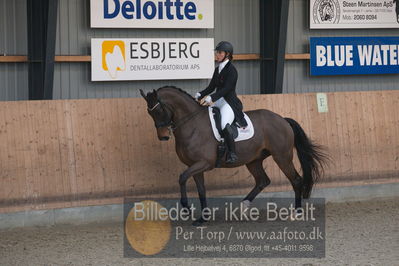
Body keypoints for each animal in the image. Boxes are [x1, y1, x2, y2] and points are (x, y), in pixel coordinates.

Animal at [139, 87, 330, 224]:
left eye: (158, 111)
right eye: (149, 113)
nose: (163, 136)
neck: (191, 125)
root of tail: (282, 119)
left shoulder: (204, 163)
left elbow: (181, 178)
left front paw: (186, 208)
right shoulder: (195, 166)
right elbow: (201, 189)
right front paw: (203, 218)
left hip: (282, 156)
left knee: (296, 180)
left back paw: (296, 212)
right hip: (253, 160)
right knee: (263, 181)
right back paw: (243, 206)